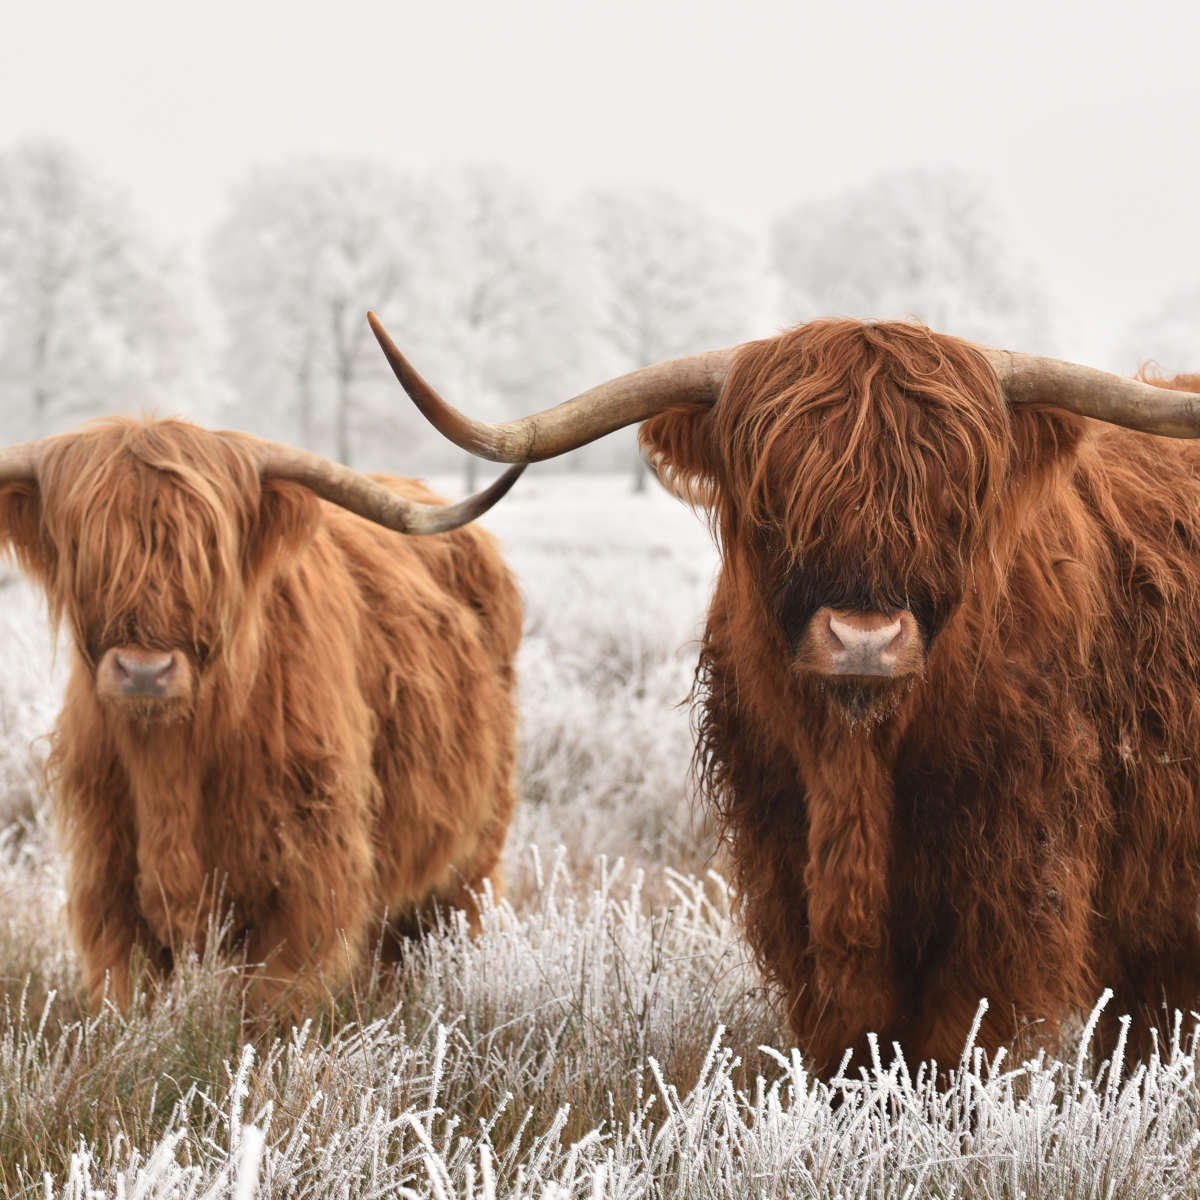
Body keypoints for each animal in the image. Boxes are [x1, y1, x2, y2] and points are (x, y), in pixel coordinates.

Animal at [0, 418, 525, 1011]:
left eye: (211, 551)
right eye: (82, 547)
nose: (144, 671)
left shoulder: (306, 884)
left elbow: (273, 1006)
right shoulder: (107, 882)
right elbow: (126, 997)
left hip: (472, 854)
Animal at [367, 310, 1200, 1076]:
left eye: (955, 500)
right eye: (775, 498)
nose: (864, 639)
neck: (855, 766)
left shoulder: (1013, 881)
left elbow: (957, 1042)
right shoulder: (783, 862)